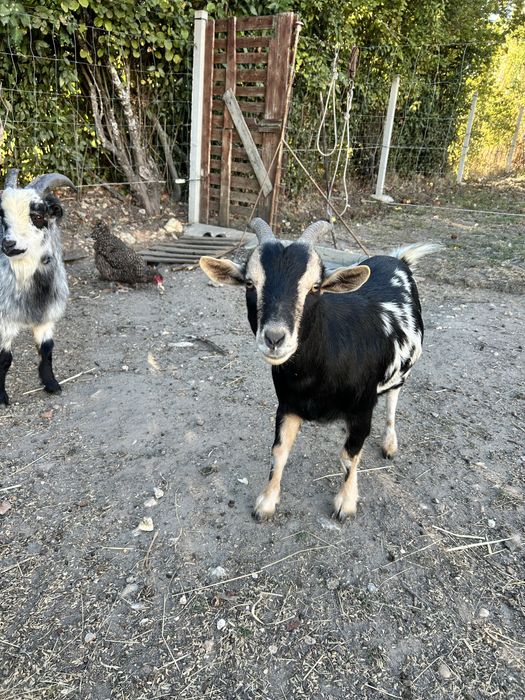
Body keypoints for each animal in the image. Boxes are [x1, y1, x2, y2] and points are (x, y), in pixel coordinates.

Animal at [0, 169, 76, 405]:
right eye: (2, 217)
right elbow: (4, 358)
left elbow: (47, 349)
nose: (8, 244)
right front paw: (1, 397)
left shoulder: (47, 315)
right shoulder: (4, 319)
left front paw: (51, 384)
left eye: (38, 216)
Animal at [200, 218, 439, 522]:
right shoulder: (288, 405)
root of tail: (398, 259)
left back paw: (389, 444)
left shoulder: (362, 409)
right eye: (250, 284)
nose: (274, 338)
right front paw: (266, 502)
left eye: (315, 287)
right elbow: (279, 451)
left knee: (393, 402)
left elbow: (350, 455)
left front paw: (345, 504)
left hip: (399, 373)